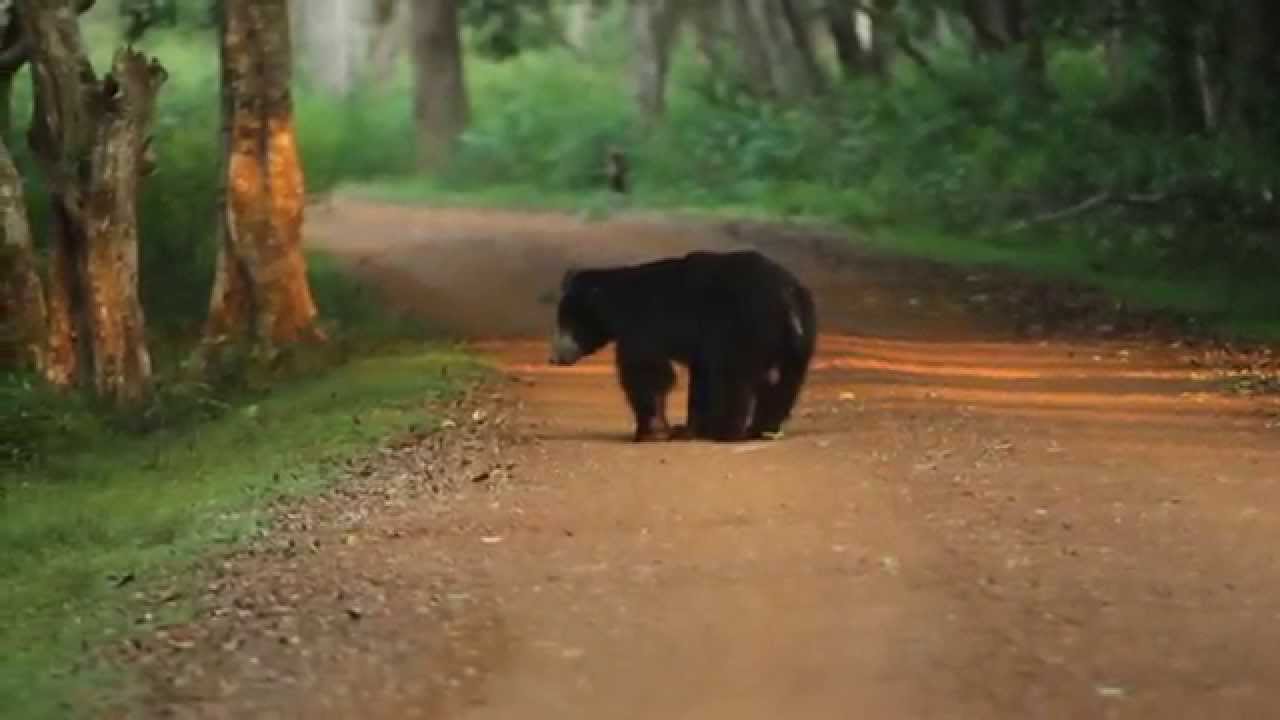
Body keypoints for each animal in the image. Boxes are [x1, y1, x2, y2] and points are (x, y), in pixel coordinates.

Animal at [548, 249, 817, 443]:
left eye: (566, 323)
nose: (554, 358)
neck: (616, 304)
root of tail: (787, 298)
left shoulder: (644, 325)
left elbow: (647, 371)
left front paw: (652, 431)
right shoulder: (703, 345)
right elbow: (699, 378)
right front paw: (687, 428)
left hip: (744, 327)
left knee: (733, 380)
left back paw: (727, 432)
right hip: (799, 340)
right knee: (784, 383)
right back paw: (763, 430)